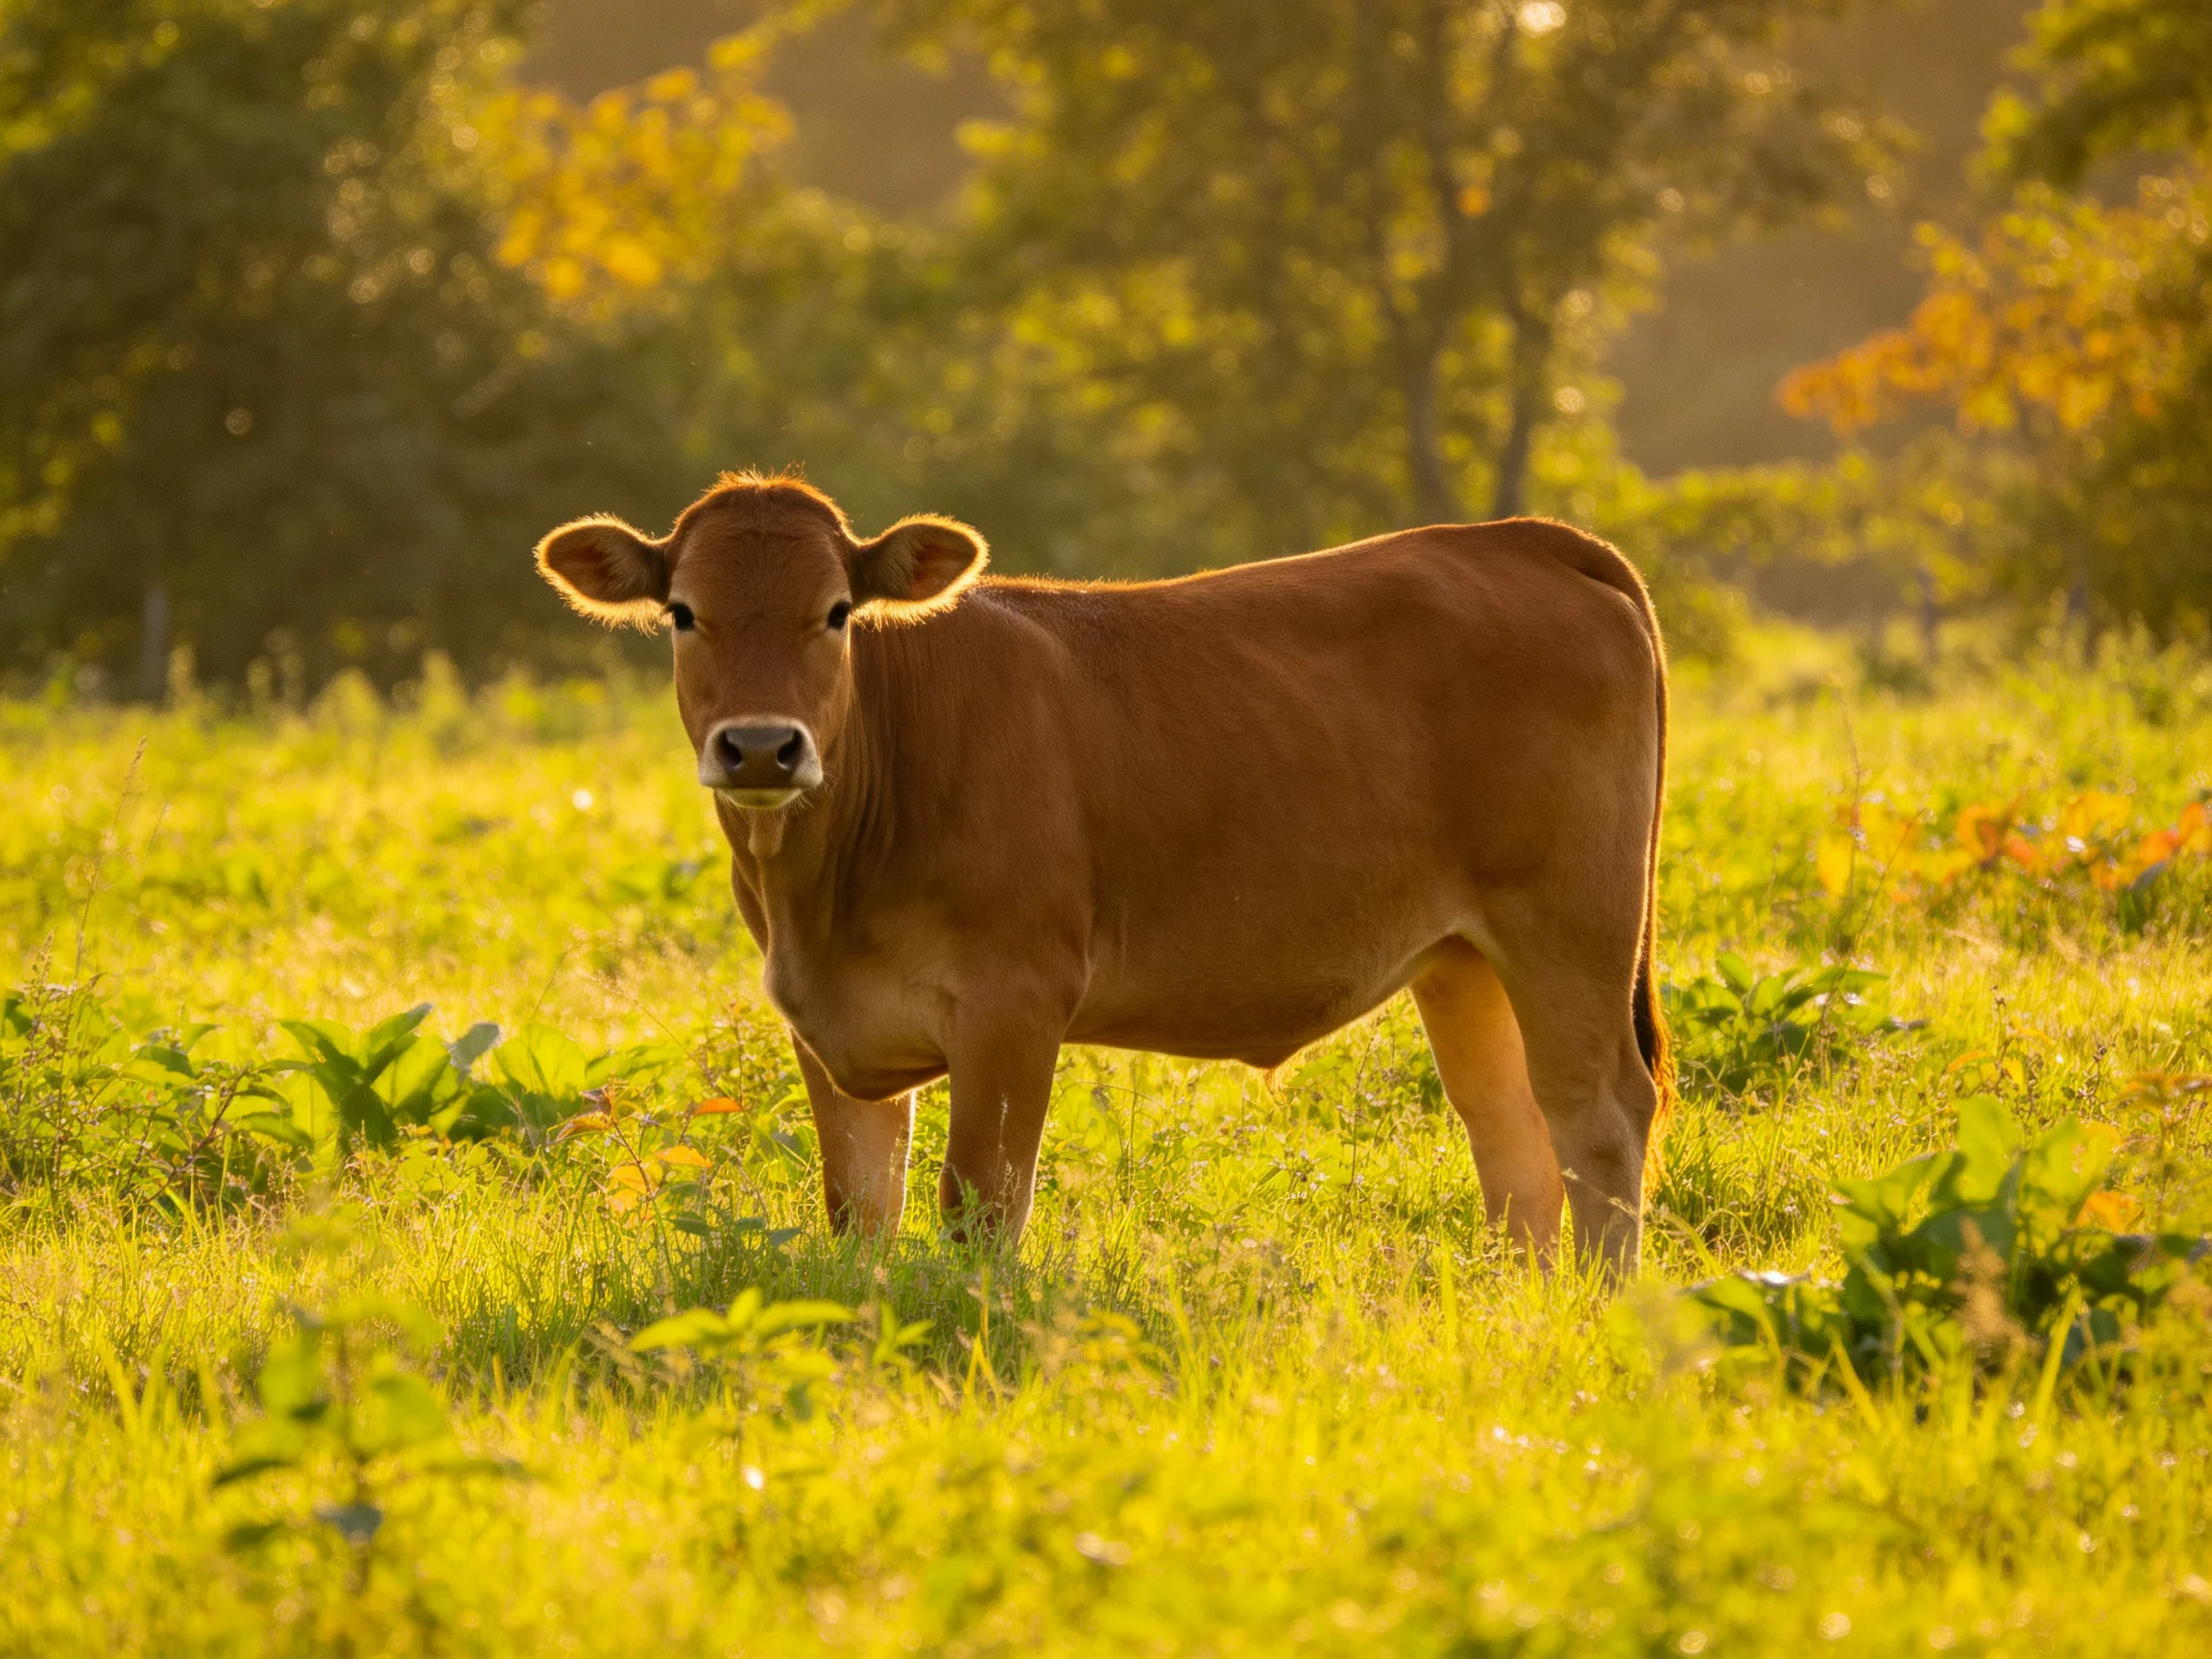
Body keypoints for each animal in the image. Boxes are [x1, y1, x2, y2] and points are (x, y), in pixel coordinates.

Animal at [535, 474, 1671, 1272]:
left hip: (1571, 923)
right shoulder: (828, 1027)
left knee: (1600, 1115)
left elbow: (979, 1206)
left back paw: (1598, 1313)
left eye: (836, 611)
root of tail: (1517, 538)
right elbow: (858, 1213)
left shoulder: (1014, 1001)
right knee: (1511, 1134)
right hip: (1461, 955)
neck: (817, 899)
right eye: (684, 612)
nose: (763, 749)